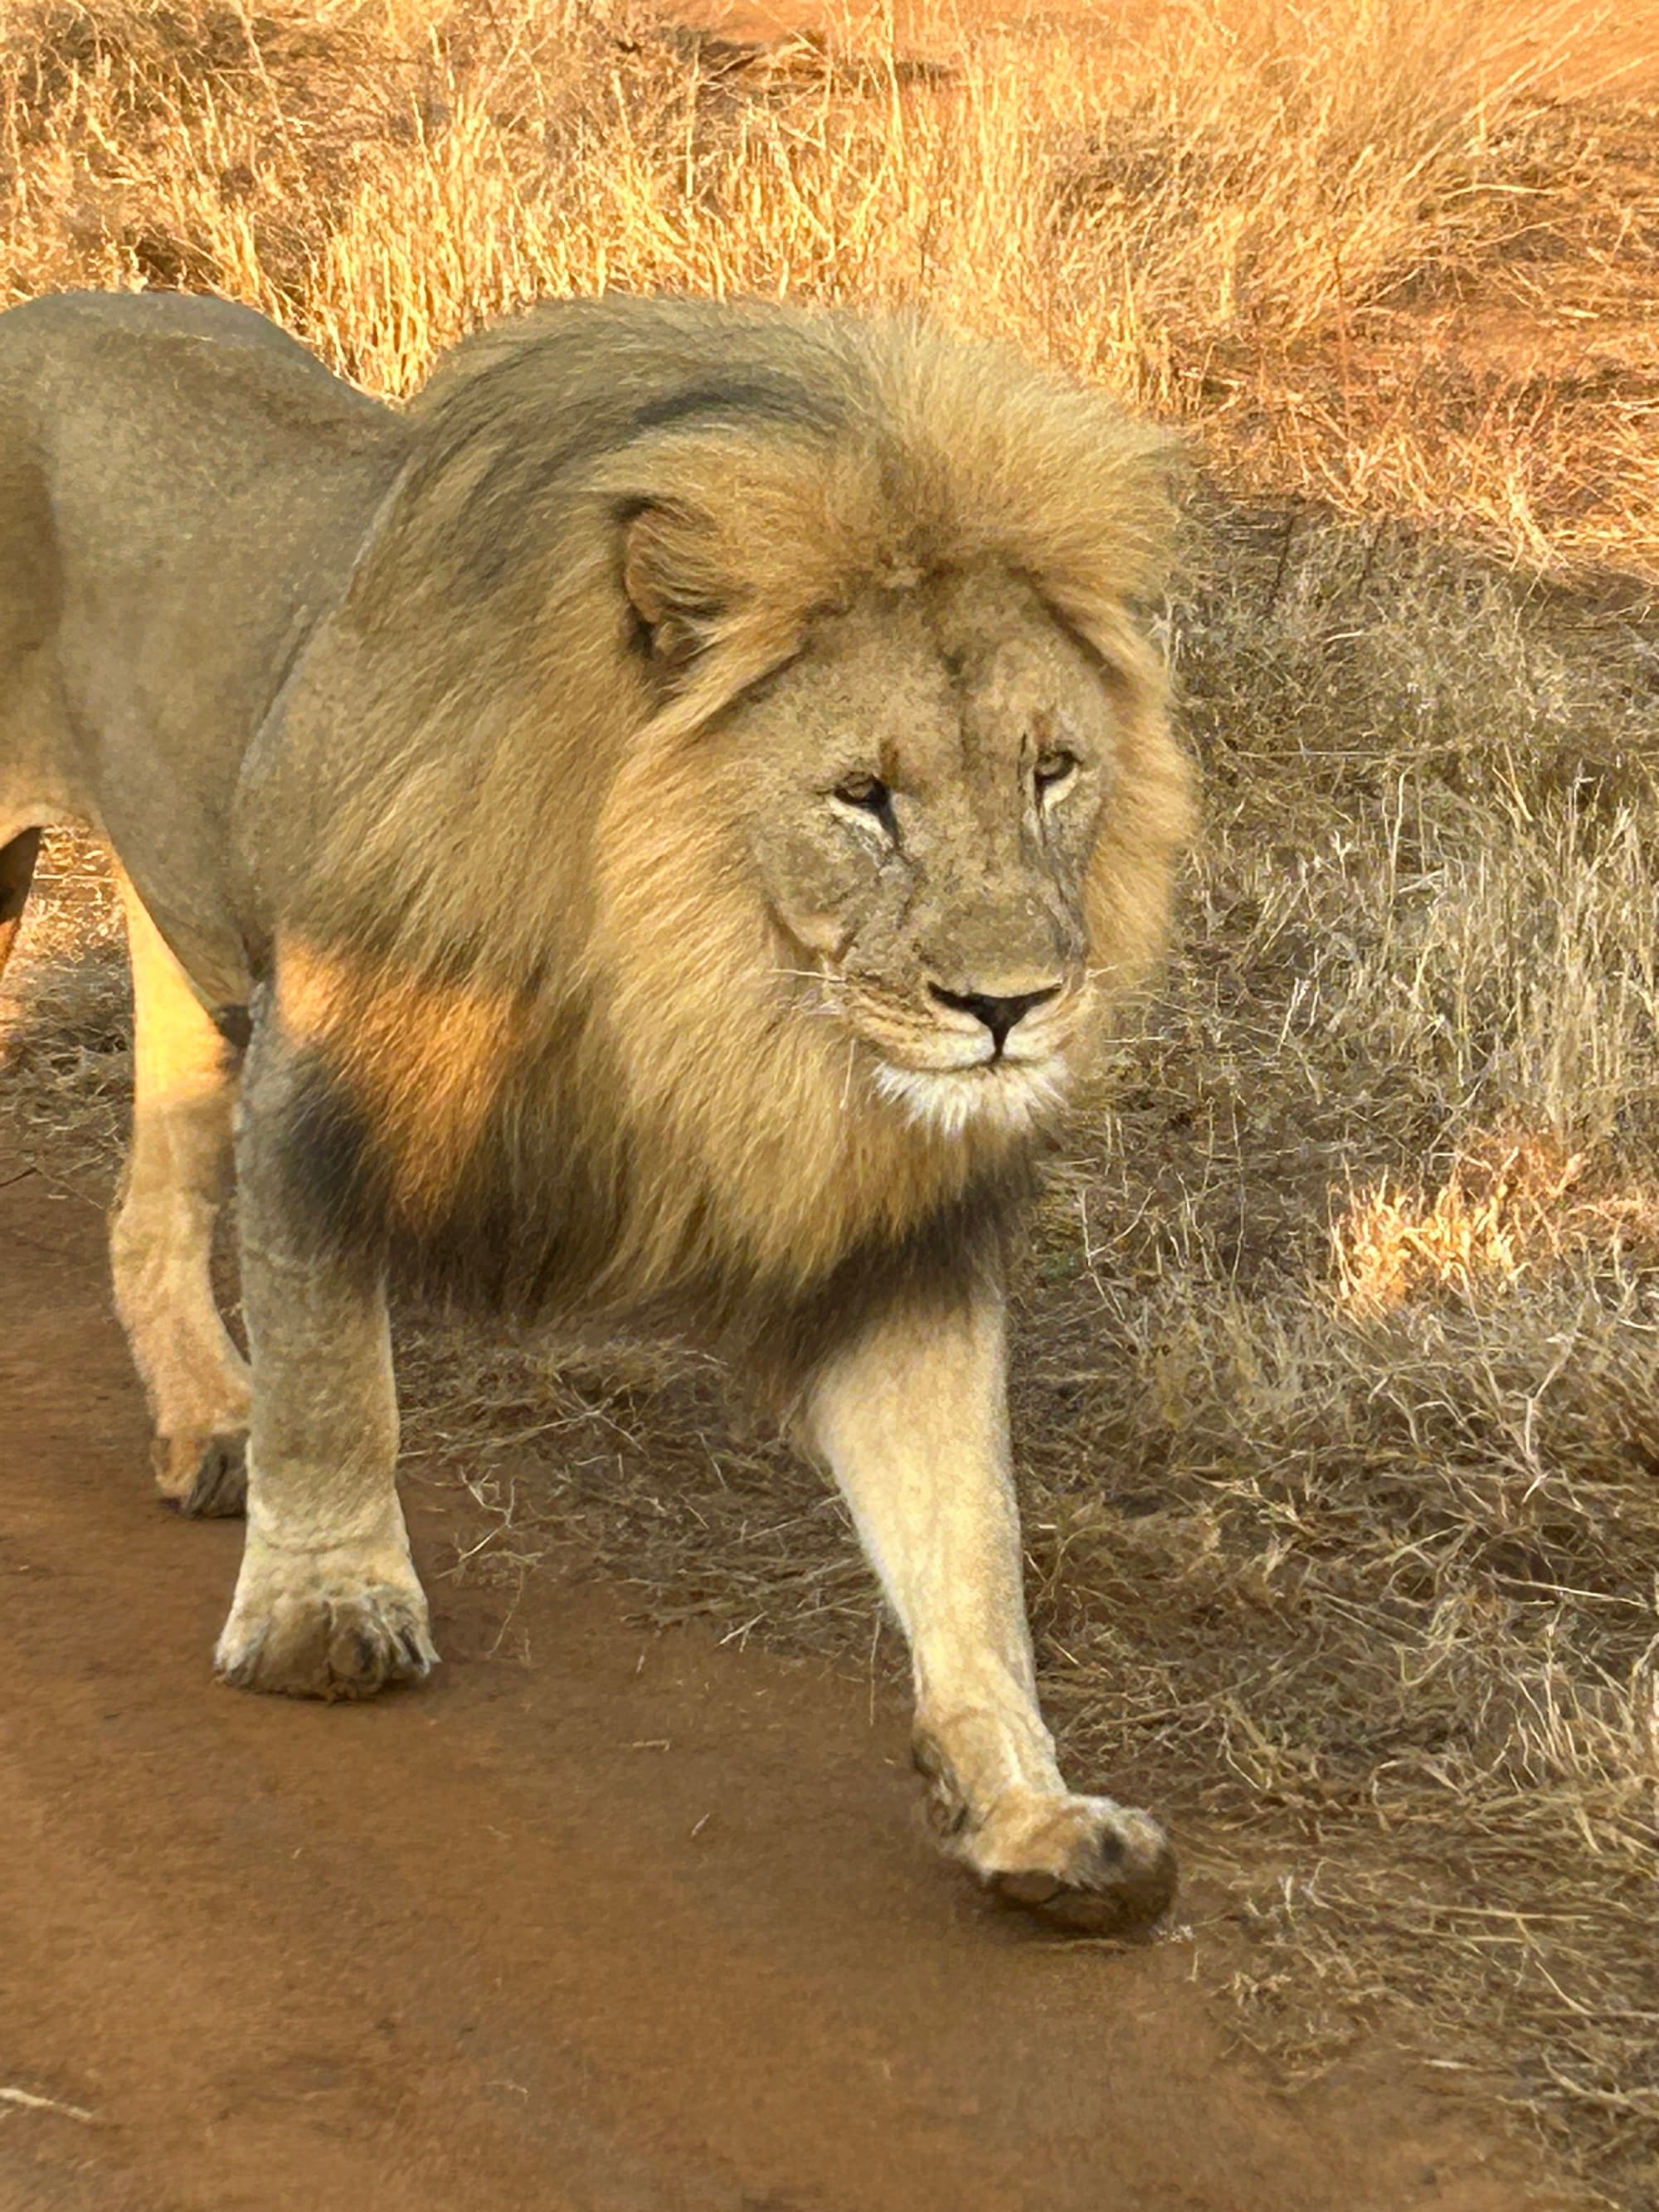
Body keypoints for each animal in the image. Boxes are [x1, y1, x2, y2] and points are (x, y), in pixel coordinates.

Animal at [0, 288, 1192, 1934]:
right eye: (863, 794)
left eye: (1054, 769)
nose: (1011, 1006)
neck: (696, 977)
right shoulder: (325, 1074)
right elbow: (339, 1376)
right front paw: (324, 1610)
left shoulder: (890, 1225)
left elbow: (966, 1527)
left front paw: (1030, 1811)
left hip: (185, 940)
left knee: (149, 1200)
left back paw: (209, 1424)